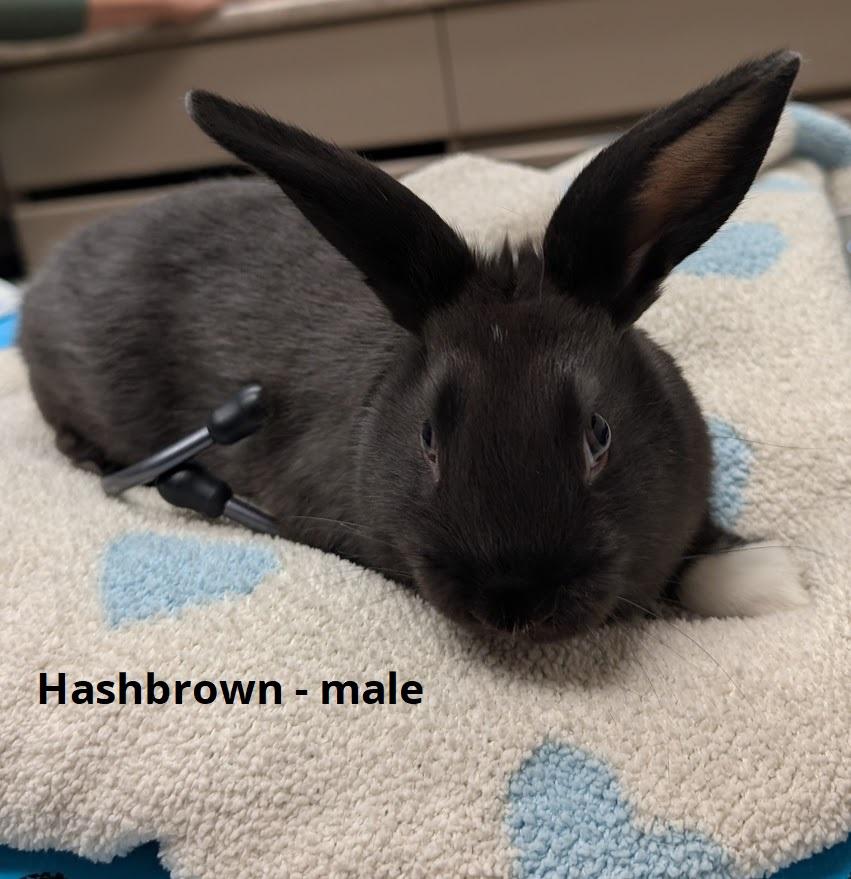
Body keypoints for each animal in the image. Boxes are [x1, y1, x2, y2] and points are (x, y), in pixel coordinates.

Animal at [19, 50, 810, 641]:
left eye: (599, 433)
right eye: (427, 438)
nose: (512, 604)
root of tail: (44, 277)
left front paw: (767, 580)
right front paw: (773, 582)